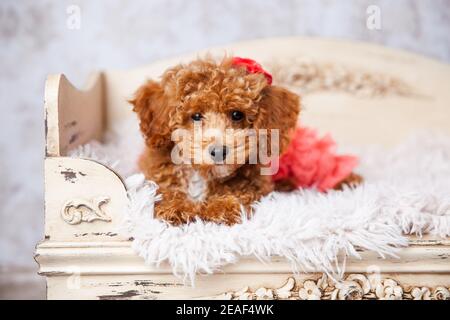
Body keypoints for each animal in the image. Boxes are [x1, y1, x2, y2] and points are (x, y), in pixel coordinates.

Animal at [132, 57, 300, 225]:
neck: (201, 174)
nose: (219, 152)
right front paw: (175, 207)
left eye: (237, 114)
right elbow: (163, 191)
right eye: (196, 116)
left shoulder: (255, 183)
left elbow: (242, 192)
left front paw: (222, 206)